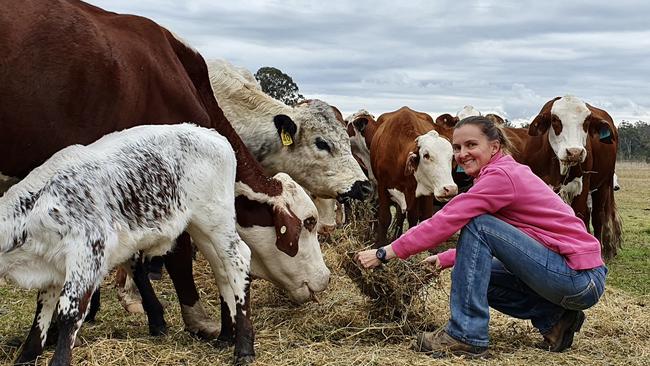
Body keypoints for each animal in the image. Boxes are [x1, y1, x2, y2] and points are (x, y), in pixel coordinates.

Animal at [0, 124, 253, 364]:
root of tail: (212, 135)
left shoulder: (89, 253)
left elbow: (69, 313)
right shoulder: (53, 265)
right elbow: (42, 312)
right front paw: (25, 357)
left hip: (217, 219)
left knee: (238, 262)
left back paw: (244, 348)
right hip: (200, 229)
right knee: (222, 271)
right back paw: (226, 337)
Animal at [370, 107, 456, 247]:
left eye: (452, 157)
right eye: (426, 155)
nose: (450, 189)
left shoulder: (420, 192)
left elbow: (416, 217)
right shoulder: (382, 185)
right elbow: (385, 217)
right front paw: (380, 243)